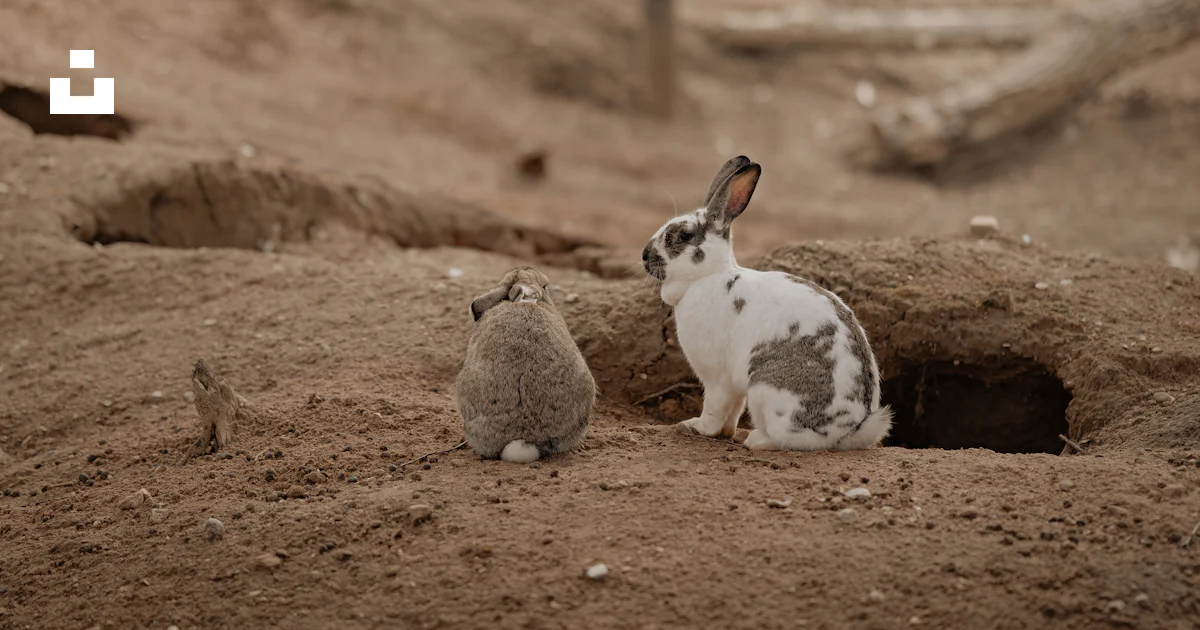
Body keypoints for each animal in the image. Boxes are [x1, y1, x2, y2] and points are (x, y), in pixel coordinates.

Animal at [640, 156, 892, 451]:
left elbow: (714, 408)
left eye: (684, 236)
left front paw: (697, 427)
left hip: (767, 391)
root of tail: (850, 430)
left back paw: (756, 439)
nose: (644, 256)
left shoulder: (718, 379)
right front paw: (726, 432)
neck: (708, 276)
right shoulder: (734, 387)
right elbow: (734, 409)